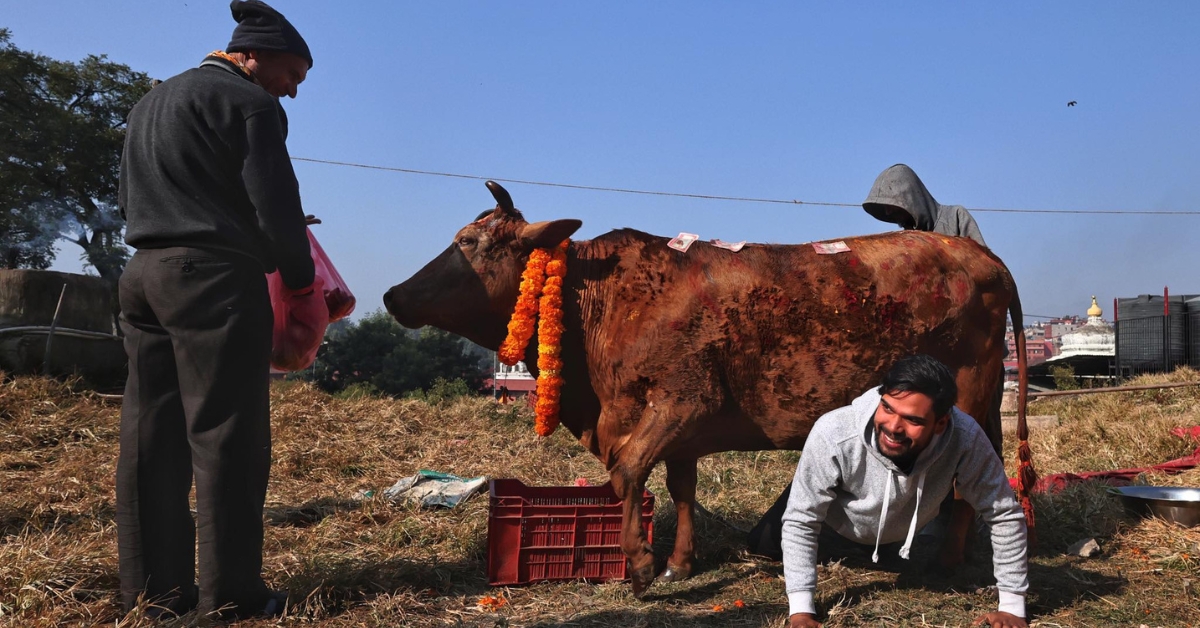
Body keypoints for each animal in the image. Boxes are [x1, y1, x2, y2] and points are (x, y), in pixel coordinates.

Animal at [386, 180, 1032, 595]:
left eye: (470, 243)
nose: (393, 295)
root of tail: (983, 258)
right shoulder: (679, 429)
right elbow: (679, 487)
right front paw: (679, 562)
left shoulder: (683, 400)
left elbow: (627, 470)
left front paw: (641, 566)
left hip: (968, 396)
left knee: (970, 480)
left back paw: (947, 562)